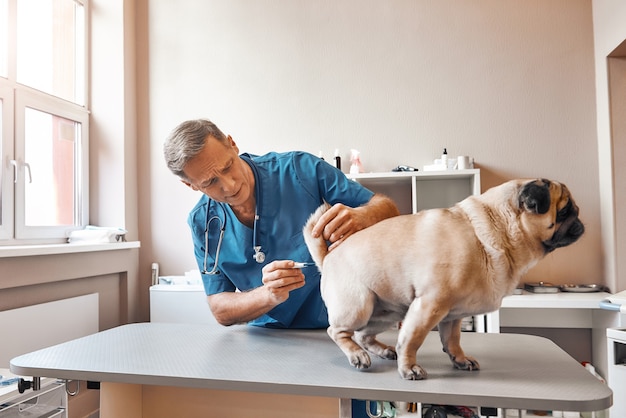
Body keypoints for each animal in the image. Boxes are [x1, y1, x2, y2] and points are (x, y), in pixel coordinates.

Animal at [304, 176, 584, 378]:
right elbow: (411, 340)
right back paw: (357, 355)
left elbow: (452, 340)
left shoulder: (452, 315)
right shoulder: (430, 304)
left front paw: (459, 359)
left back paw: (382, 350)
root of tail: (328, 256)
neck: (491, 230)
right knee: (337, 331)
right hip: (359, 306)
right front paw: (409, 367)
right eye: (564, 210)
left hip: (387, 312)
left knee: (363, 335)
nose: (580, 222)